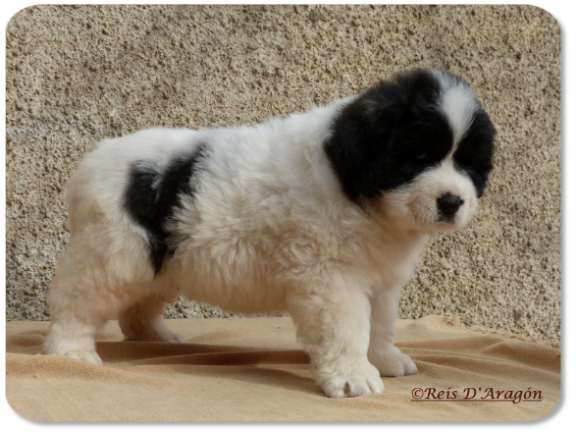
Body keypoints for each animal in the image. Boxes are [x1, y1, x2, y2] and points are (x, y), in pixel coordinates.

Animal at [41, 69, 496, 398]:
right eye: (417, 156)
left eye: (469, 165)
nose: (452, 201)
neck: (352, 185)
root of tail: (90, 162)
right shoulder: (331, 279)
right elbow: (349, 327)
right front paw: (354, 377)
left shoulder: (381, 279)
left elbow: (380, 324)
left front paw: (384, 359)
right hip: (116, 254)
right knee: (77, 301)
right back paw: (71, 351)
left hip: (162, 259)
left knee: (137, 306)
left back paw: (156, 338)